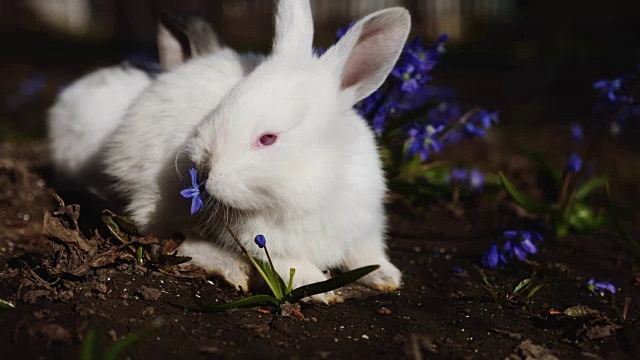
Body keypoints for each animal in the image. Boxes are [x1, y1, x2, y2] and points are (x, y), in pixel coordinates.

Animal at [70, 0, 408, 304]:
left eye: (268, 138)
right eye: (223, 105)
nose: (203, 168)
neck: (318, 186)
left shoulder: (364, 226)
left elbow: (367, 254)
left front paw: (387, 276)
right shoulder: (266, 243)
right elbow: (291, 265)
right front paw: (321, 289)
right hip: (156, 198)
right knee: (172, 240)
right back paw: (231, 268)